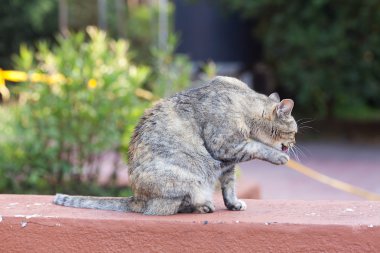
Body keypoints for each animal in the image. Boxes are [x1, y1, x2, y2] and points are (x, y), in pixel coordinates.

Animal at [53, 75, 296, 215]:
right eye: (294, 132)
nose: (294, 143)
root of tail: (137, 199)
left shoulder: (228, 162)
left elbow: (229, 187)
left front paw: (233, 204)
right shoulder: (226, 145)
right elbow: (257, 147)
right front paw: (278, 157)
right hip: (190, 177)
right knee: (171, 206)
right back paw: (204, 206)